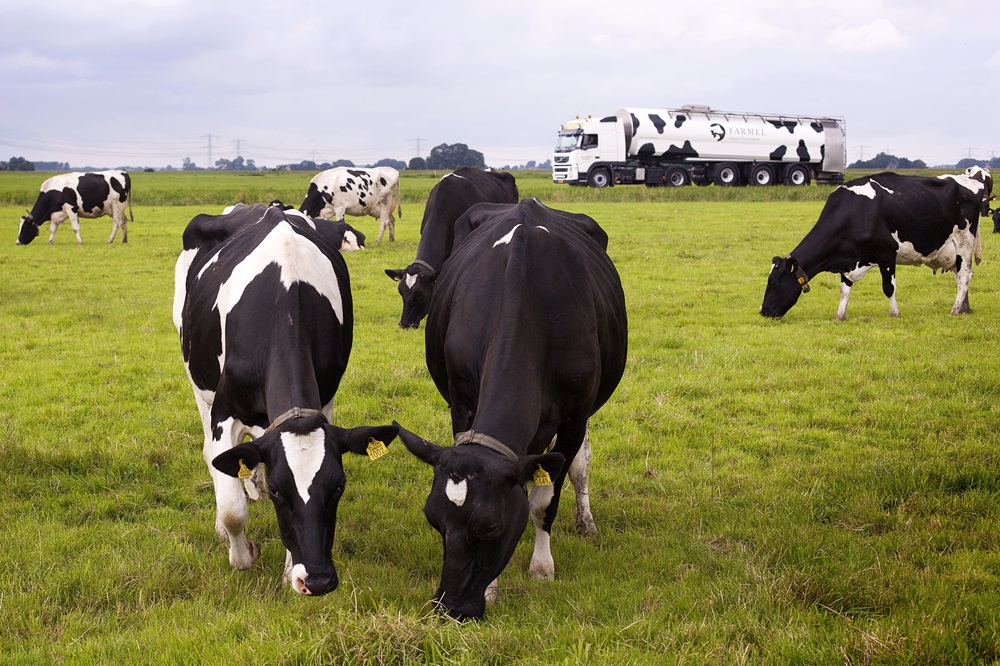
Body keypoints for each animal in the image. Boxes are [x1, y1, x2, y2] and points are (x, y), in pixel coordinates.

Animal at [174, 204, 396, 596]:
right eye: (280, 491)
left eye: (339, 485)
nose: (319, 579)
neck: (285, 306)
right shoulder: (224, 412)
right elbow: (232, 508)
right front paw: (243, 552)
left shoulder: (325, 402)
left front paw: (291, 569)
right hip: (197, 381)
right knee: (212, 457)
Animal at [396, 197, 624, 616]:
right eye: (435, 522)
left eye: (490, 527)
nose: (450, 607)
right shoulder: (461, 405)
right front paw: (491, 589)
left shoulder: (574, 416)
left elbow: (545, 499)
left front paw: (542, 568)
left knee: (581, 466)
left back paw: (586, 521)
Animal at [760, 167, 988, 320]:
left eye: (774, 283)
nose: (763, 311)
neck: (853, 212)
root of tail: (970, 179)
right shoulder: (848, 258)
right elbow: (844, 289)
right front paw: (839, 315)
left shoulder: (887, 253)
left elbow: (889, 287)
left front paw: (895, 313)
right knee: (960, 276)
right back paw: (965, 308)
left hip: (964, 241)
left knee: (965, 276)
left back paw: (955, 310)